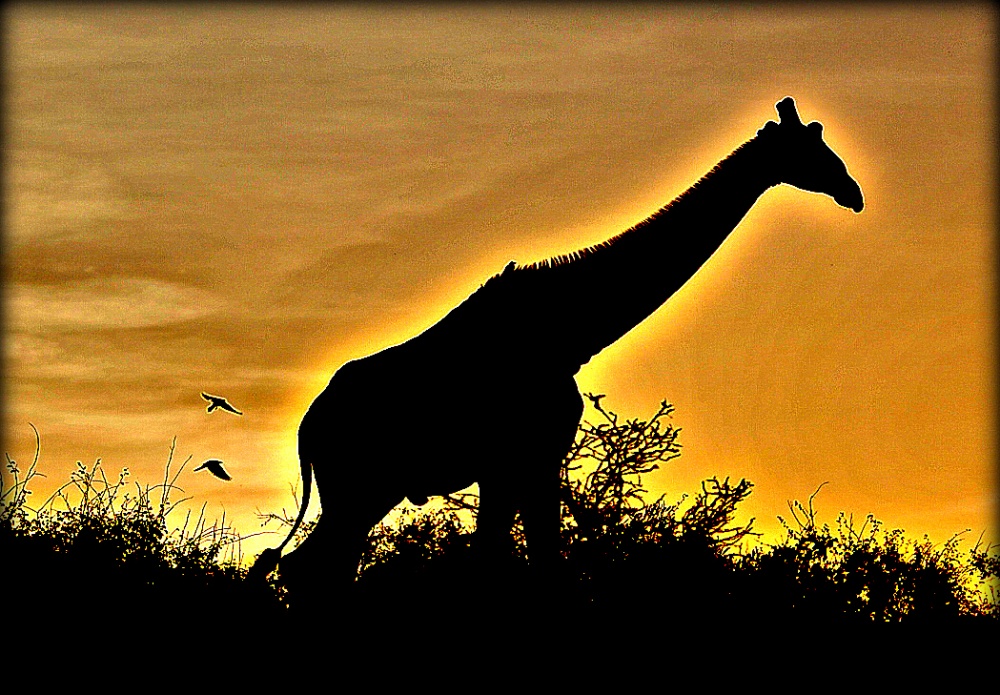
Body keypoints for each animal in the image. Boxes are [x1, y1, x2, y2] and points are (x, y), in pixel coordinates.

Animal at [258, 96, 868, 608]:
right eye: (811, 147)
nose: (854, 191)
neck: (572, 329)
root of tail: (309, 426)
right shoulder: (528, 455)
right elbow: (527, 566)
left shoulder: (514, 464)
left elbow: (514, 562)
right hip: (359, 484)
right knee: (311, 568)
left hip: (365, 489)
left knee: (312, 567)